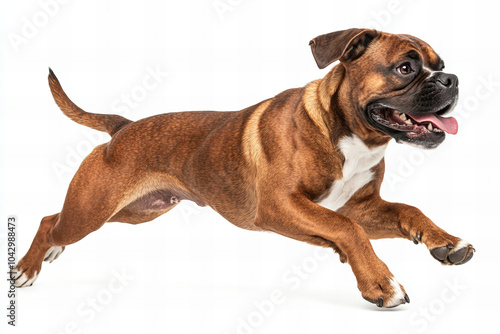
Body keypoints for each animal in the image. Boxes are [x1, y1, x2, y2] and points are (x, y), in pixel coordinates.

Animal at [10, 28, 472, 308]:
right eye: (405, 68)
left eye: (440, 64)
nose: (451, 80)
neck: (349, 134)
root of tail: (122, 128)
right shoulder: (282, 205)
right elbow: (348, 231)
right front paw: (379, 282)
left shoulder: (359, 206)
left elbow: (407, 212)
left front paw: (446, 241)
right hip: (94, 210)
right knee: (50, 222)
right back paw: (27, 268)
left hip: (135, 211)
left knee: (55, 219)